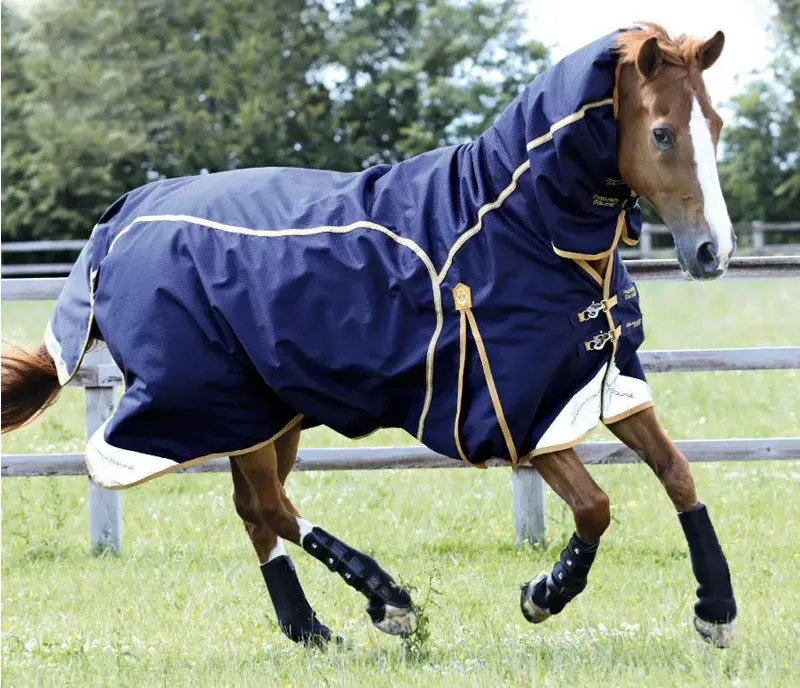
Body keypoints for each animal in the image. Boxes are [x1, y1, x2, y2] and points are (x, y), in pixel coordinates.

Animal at [2, 24, 738, 649]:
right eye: (664, 133)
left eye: (717, 124)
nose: (712, 252)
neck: (526, 227)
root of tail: (124, 219)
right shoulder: (513, 410)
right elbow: (596, 505)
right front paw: (546, 592)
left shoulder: (600, 377)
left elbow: (677, 473)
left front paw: (716, 611)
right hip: (214, 400)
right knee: (267, 504)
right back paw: (388, 599)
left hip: (263, 412)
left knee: (255, 508)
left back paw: (310, 626)